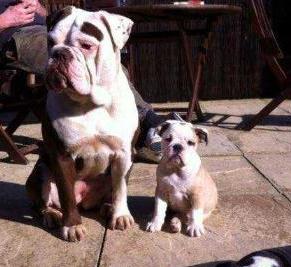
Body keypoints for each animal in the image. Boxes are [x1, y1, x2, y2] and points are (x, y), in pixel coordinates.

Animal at [25, 6, 139, 243]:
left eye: (87, 46)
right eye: (50, 42)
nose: (60, 53)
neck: (91, 104)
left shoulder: (124, 154)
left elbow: (121, 188)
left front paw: (120, 215)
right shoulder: (62, 157)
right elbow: (66, 193)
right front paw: (72, 226)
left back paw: (108, 207)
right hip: (40, 172)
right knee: (43, 201)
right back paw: (52, 214)